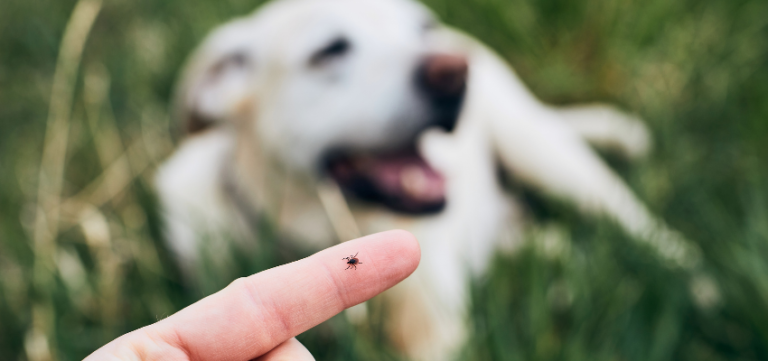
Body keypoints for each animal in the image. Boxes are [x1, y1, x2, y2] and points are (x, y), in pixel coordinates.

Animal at [153, 0, 700, 358]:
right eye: (329, 51)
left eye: (421, 28)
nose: (454, 72)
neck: (320, 227)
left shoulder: (437, 331)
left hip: (544, 153)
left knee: (643, 229)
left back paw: (701, 287)